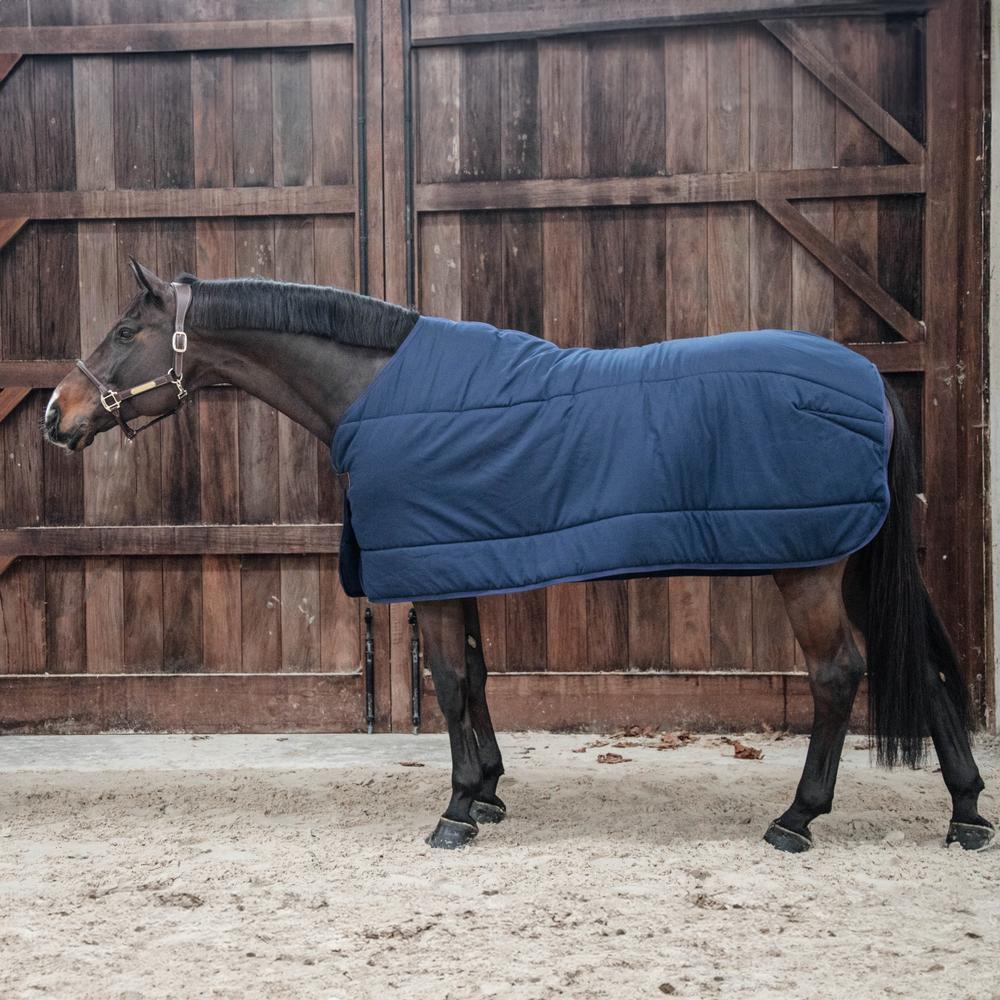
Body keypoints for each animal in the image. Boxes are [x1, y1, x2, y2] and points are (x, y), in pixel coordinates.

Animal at [42, 258, 994, 853]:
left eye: (124, 330)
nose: (56, 413)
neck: (379, 391)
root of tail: (870, 386)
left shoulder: (429, 572)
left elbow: (448, 680)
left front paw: (458, 807)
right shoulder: (457, 558)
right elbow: (475, 674)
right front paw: (492, 791)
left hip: (810, 570)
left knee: (840, 675)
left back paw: (798, 818)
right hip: (852, 560)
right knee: (925, 670)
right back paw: (966, 815)